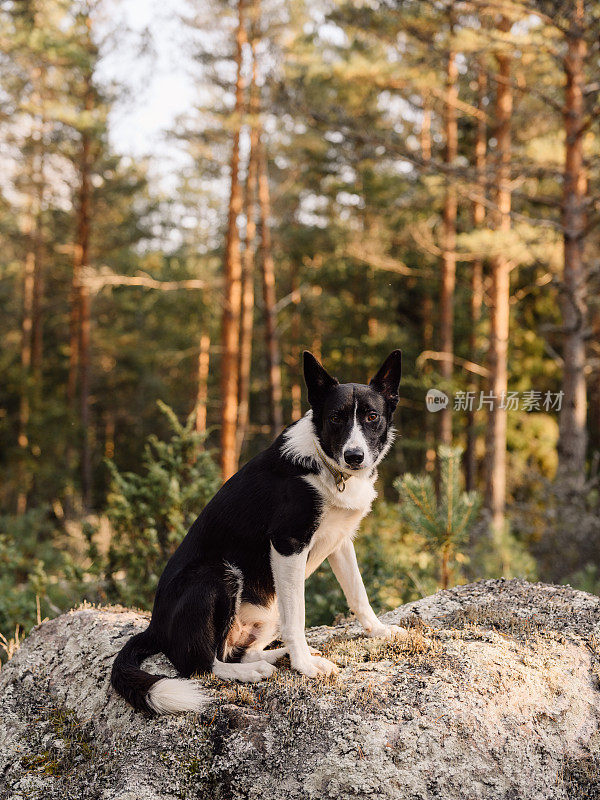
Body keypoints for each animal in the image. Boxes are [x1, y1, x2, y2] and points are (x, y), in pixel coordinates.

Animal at [110, 350, 406, 712]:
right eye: (336, 418)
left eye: (372, 416)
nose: (354, 456)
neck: (328, 466)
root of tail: (154, 627)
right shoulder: (288, 544)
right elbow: (299, 617)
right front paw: (305, 666)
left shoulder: (340, 542)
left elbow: (358, 593)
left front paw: (378, 631)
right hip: (218, 576)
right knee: (201, 663)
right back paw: (250, 672)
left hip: (268, 606)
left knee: (238, 651)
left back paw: (273, 657)